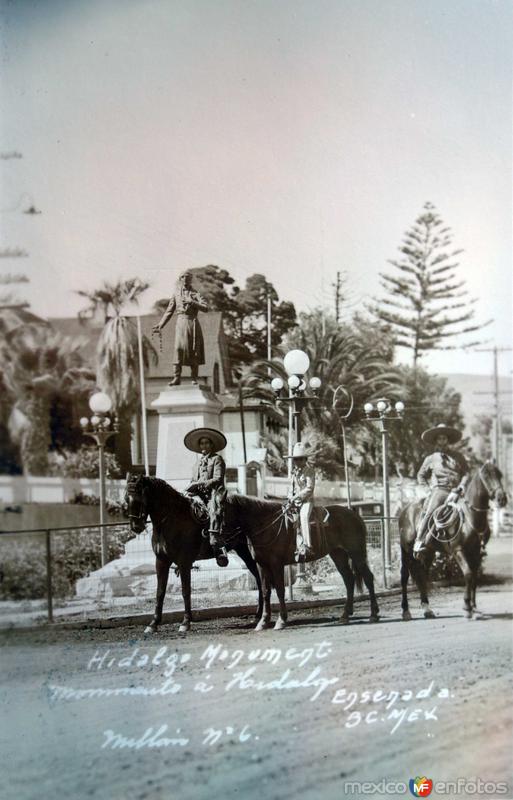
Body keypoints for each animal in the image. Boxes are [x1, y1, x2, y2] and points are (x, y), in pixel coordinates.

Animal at [125, 476, 380, 632]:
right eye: (126, 500)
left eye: (138, 498)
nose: (135, 526)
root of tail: (355, 514)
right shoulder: (162, 562)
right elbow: (159, 592)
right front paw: (153, 623)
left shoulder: (185, 562)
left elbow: (187, 592)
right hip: (337, 554)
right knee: (349, 579)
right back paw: (345, 615)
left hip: (356, 553)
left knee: (367, 578)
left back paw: (373, 614)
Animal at [398, 460, 506, 620]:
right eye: (486, 475)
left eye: (499, 474)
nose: (502, 499)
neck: (469, 517)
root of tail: (405, 511)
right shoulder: (458, 550)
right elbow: (468, 574)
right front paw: (467, 607)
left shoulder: (476, 552)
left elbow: (474, 577)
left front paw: (474, 608)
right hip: (405, 550)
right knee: (405, 577)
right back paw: (406, 611)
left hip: (428, 553)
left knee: (422, 576)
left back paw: (427, 609)